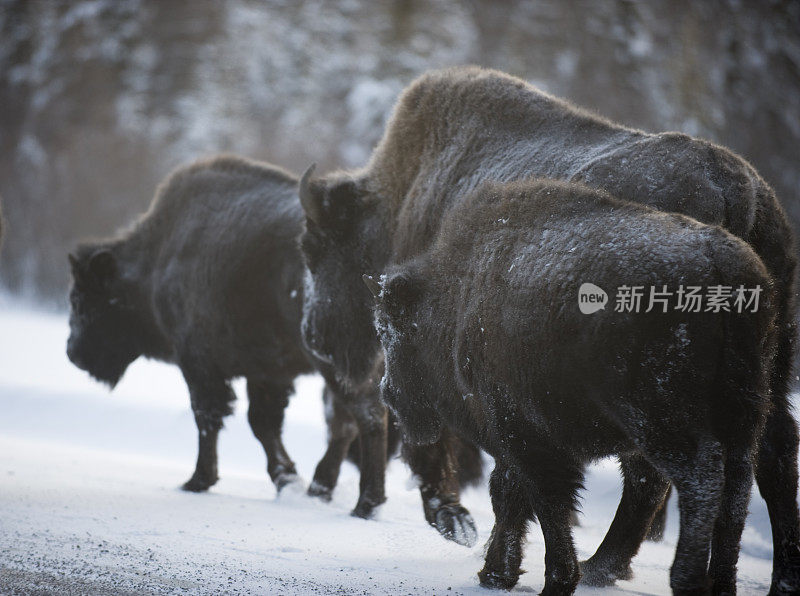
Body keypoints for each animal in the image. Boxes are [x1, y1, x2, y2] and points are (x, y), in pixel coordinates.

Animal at [372, 179, 780, 592]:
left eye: (389, 330)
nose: (388, 393)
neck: (460, 292)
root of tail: (722, 265)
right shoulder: (515, 440)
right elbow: (513, 497)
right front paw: (497, 574)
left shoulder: (524, 435)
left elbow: (545, 504)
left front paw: (553, 579)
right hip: (745, 417)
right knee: (734, 492)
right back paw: (718, 582)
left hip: (663, 424)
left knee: (698, 481)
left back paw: (682, 578)